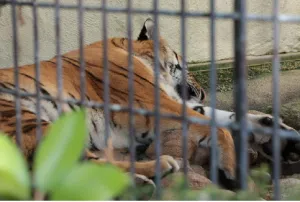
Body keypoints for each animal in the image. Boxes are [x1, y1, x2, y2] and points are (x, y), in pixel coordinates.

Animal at [1, 18, 238, 189]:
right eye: (186, 63)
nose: (204, 93)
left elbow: (218, 116)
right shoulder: (154, 103)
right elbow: (218, 128)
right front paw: (231, 170)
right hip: (28, 121)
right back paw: (158, 168)